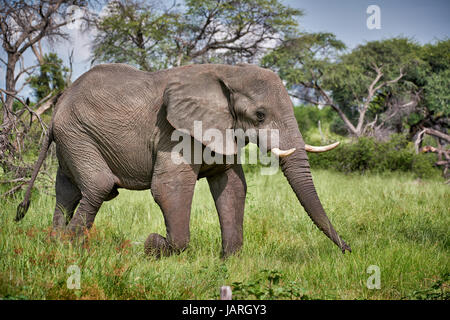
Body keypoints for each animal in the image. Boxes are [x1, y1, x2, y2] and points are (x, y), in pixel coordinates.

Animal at [15, 62, 352, 258]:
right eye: (259, 115)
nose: (348, 249)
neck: (226, 72)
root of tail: (59, 104)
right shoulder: (173, 131)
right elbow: (170, 187)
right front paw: (152, 244)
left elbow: (232, 186)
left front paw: (229, 261)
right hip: (77, 133)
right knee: (99, 185)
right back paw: (70, 247)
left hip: (71, 138)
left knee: (68, 191)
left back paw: (58, 245)